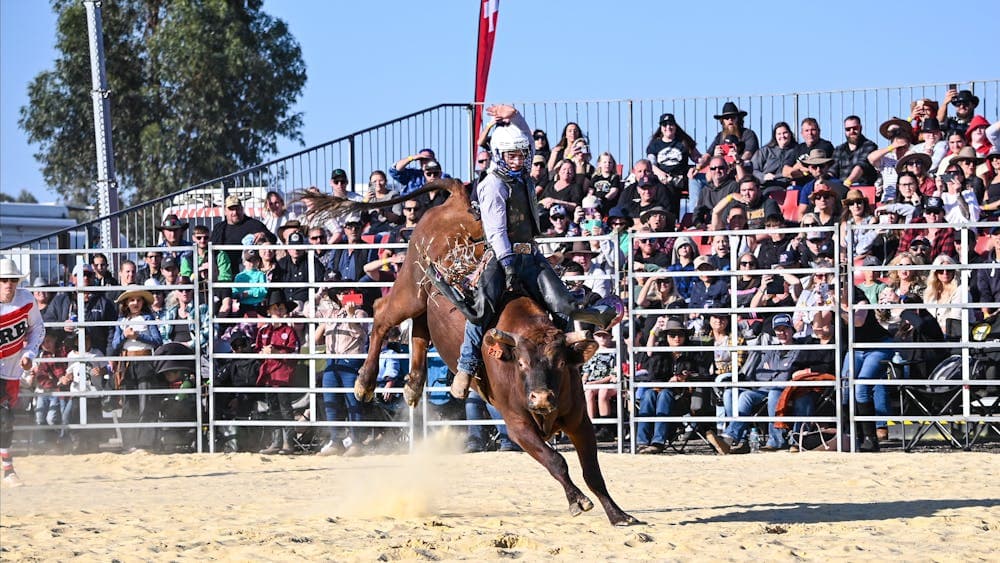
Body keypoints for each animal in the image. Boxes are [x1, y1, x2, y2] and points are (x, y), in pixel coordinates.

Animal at [300, 179, 639, 526]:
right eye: (521, 363)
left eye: (559, 362)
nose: (542, 398)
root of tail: (457, 201)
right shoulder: (518, 425)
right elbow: (556, 460)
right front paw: (577, 501)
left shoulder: (580, 421)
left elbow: (592, 472)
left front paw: (618, 514)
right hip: (410, 286)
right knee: (382, 313)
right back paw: (365, 383)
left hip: (425, 301)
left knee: (420, 330)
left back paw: (413, 385)